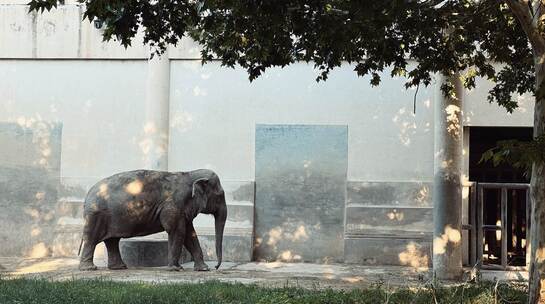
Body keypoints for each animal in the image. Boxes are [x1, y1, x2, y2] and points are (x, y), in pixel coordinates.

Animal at [77, 169, 226, 270]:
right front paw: (176, 269)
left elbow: (190, 234)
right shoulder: (173, 205)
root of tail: (86, 197)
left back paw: (119, 267)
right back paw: (90, 268)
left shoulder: (182, 209)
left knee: (112, 241)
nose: (216, 267)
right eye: (220, 196)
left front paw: (203, 269)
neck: (189, 174)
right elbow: (177, 231)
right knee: (92, 240)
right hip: (96, 215)